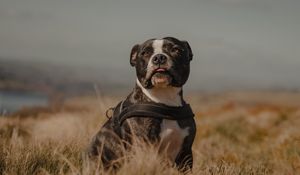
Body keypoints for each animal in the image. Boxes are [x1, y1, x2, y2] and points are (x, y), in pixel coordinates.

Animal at [86, 37, 196, 172]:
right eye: (145, 53)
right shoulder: (143, 147)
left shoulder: (186, 153)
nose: (159, 57)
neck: (164, 101)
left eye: (176, 49)